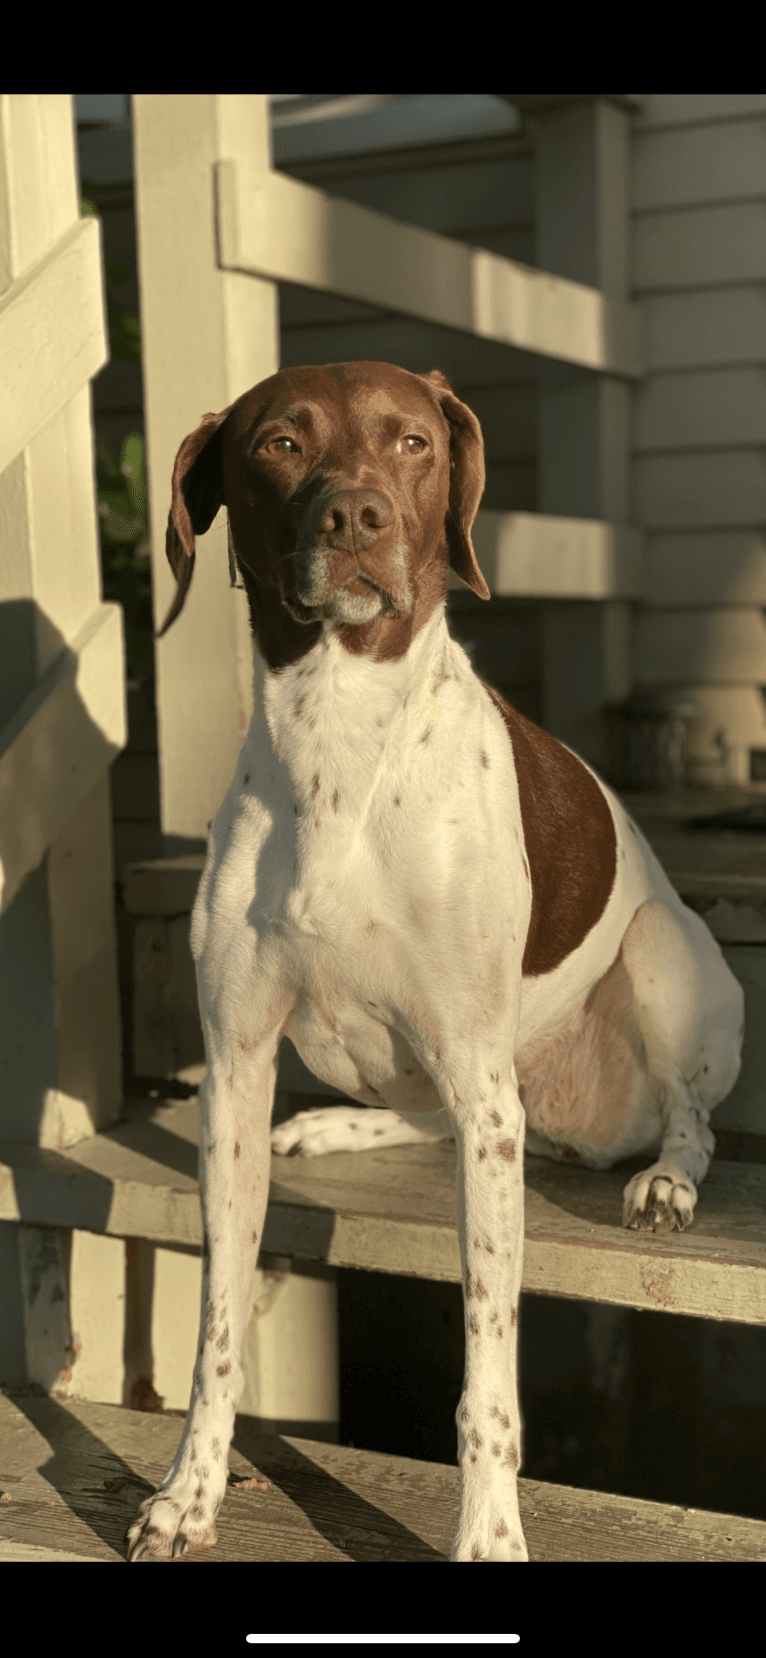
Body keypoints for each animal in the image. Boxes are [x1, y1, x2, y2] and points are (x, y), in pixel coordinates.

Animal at [128, 356, 746, 1558]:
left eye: (412, 441)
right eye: (278, 443)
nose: (355, 516)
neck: (337, 739)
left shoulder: (476, 1084)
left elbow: (487, 1380)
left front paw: (493, 1536)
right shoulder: (235, 1071)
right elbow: (216, 1332)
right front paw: (189, 1492)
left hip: (646, 964)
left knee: (689, 1120)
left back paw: (663, 1183)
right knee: (430, 1114)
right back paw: (333, 1126)